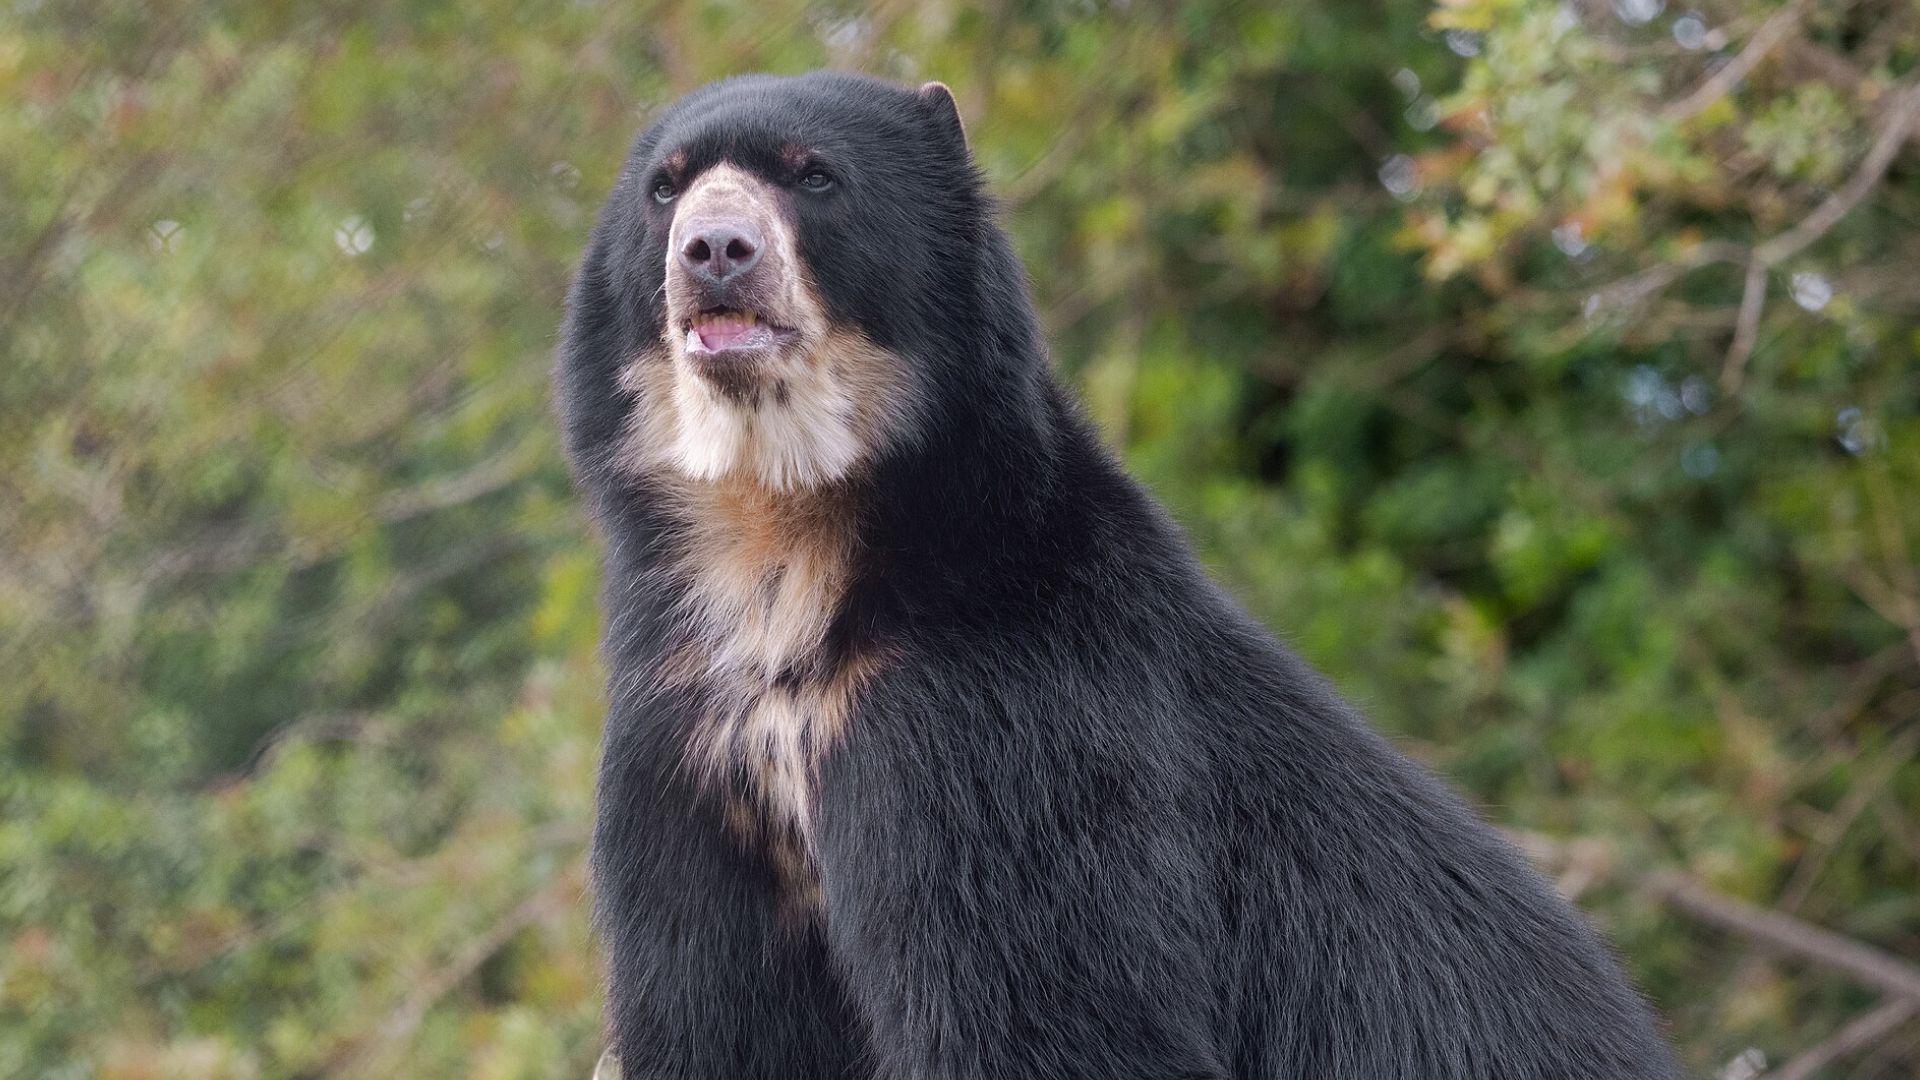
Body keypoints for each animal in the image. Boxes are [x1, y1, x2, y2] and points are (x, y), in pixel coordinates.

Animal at [555, 70, 1683, 1079]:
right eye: (667, 188)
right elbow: (711, 1017)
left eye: (814, 176)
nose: (714, 253)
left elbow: (1052, 1010)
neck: (786, 545)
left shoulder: (1000, 731)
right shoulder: (685, 750)